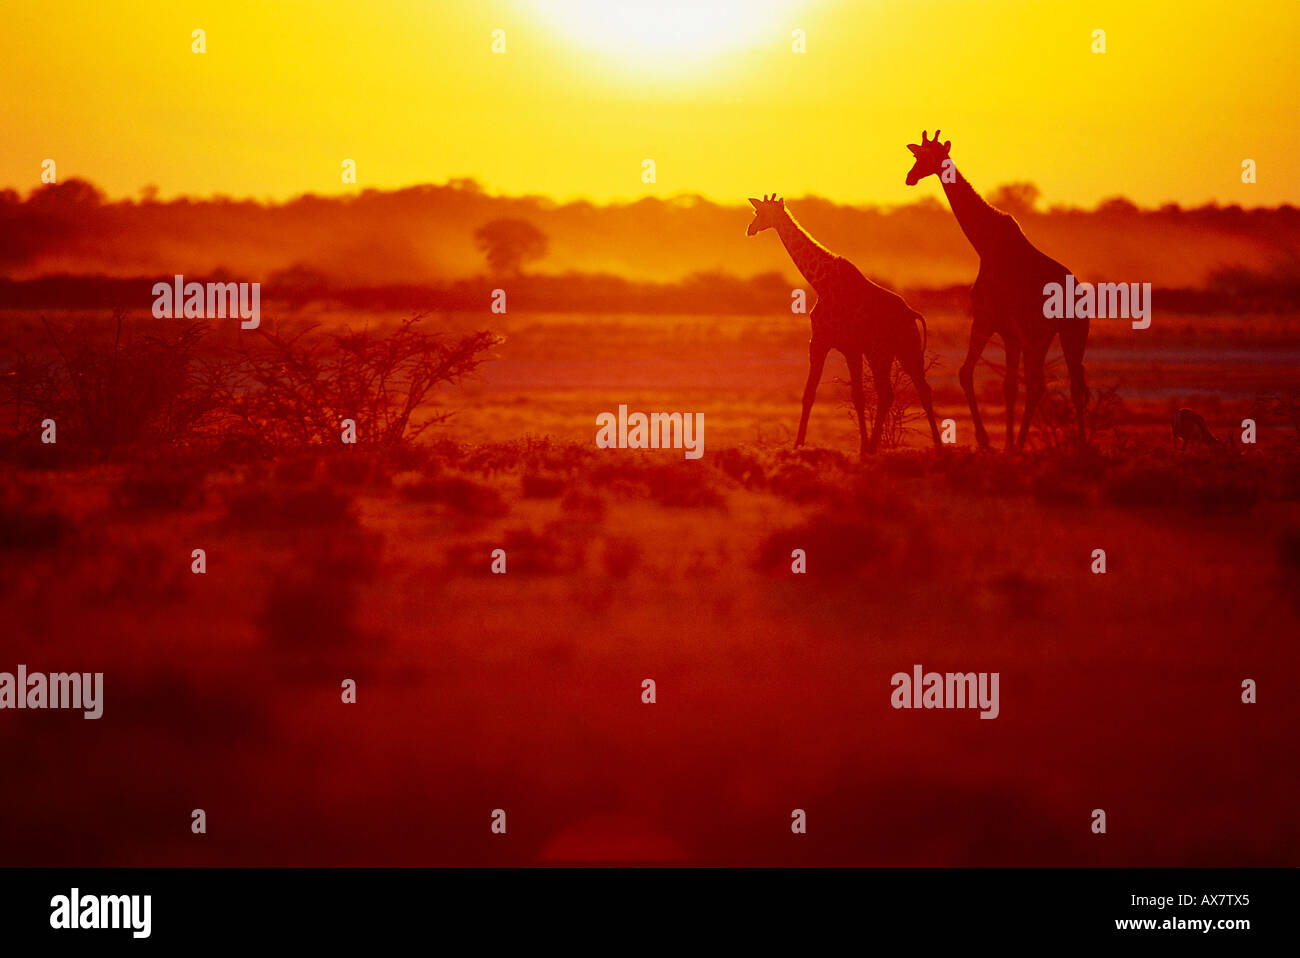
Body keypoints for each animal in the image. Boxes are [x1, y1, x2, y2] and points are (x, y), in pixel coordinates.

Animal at [746, 194, 942, 456]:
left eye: (759, 212)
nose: (750, 228)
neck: (820, 281)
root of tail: (912, 314)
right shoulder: (851, 349)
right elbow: (857, 396)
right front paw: (861, 444)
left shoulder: (819, 340)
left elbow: (809, 393)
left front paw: (798, 444)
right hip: (905, 350)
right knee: (923, 389)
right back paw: (937, 445)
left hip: (881, 352)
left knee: (887, 393)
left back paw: (876, 447)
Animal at [904, 130, 1089, 450]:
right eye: (917, 155)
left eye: (929, 156)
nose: (910, 177)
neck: (985, 244)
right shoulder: (1007, 331)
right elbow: (1004, 385)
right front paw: (1006, 444)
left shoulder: (987, 320)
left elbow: (969, 375)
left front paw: (989, 441)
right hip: (1046, 336)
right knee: (1047, 384)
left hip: (1066, 334)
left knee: (1066, 385)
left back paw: (1079, 445)